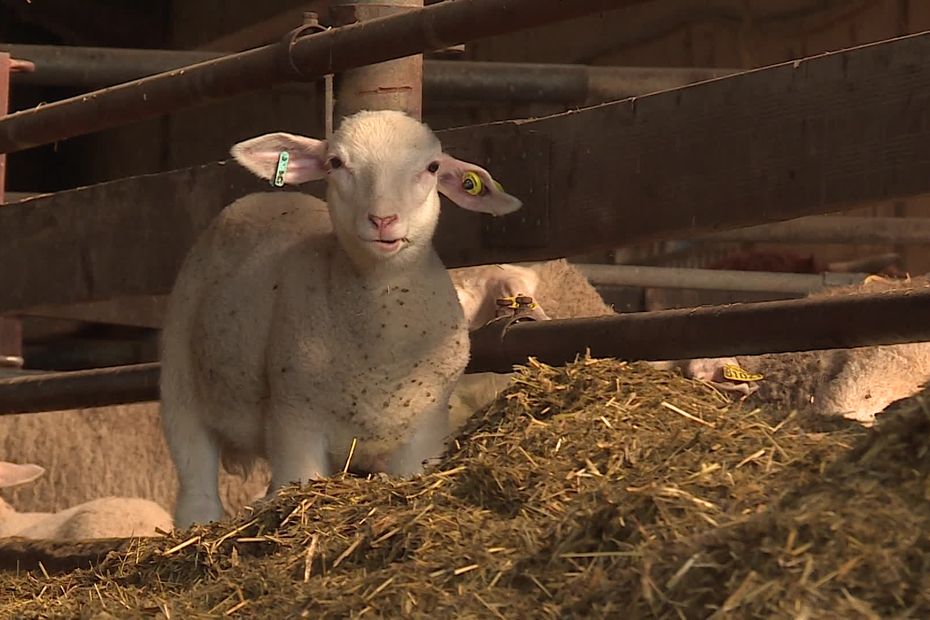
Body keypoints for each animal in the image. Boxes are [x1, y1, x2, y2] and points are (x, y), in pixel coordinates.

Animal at [161, 110, 520, 528]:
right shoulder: (295, 421)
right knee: (195, 477)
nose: (383, 220)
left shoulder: (426, 430)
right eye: (335, 163)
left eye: (431, 167)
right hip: (179, 371)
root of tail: (258, 197)